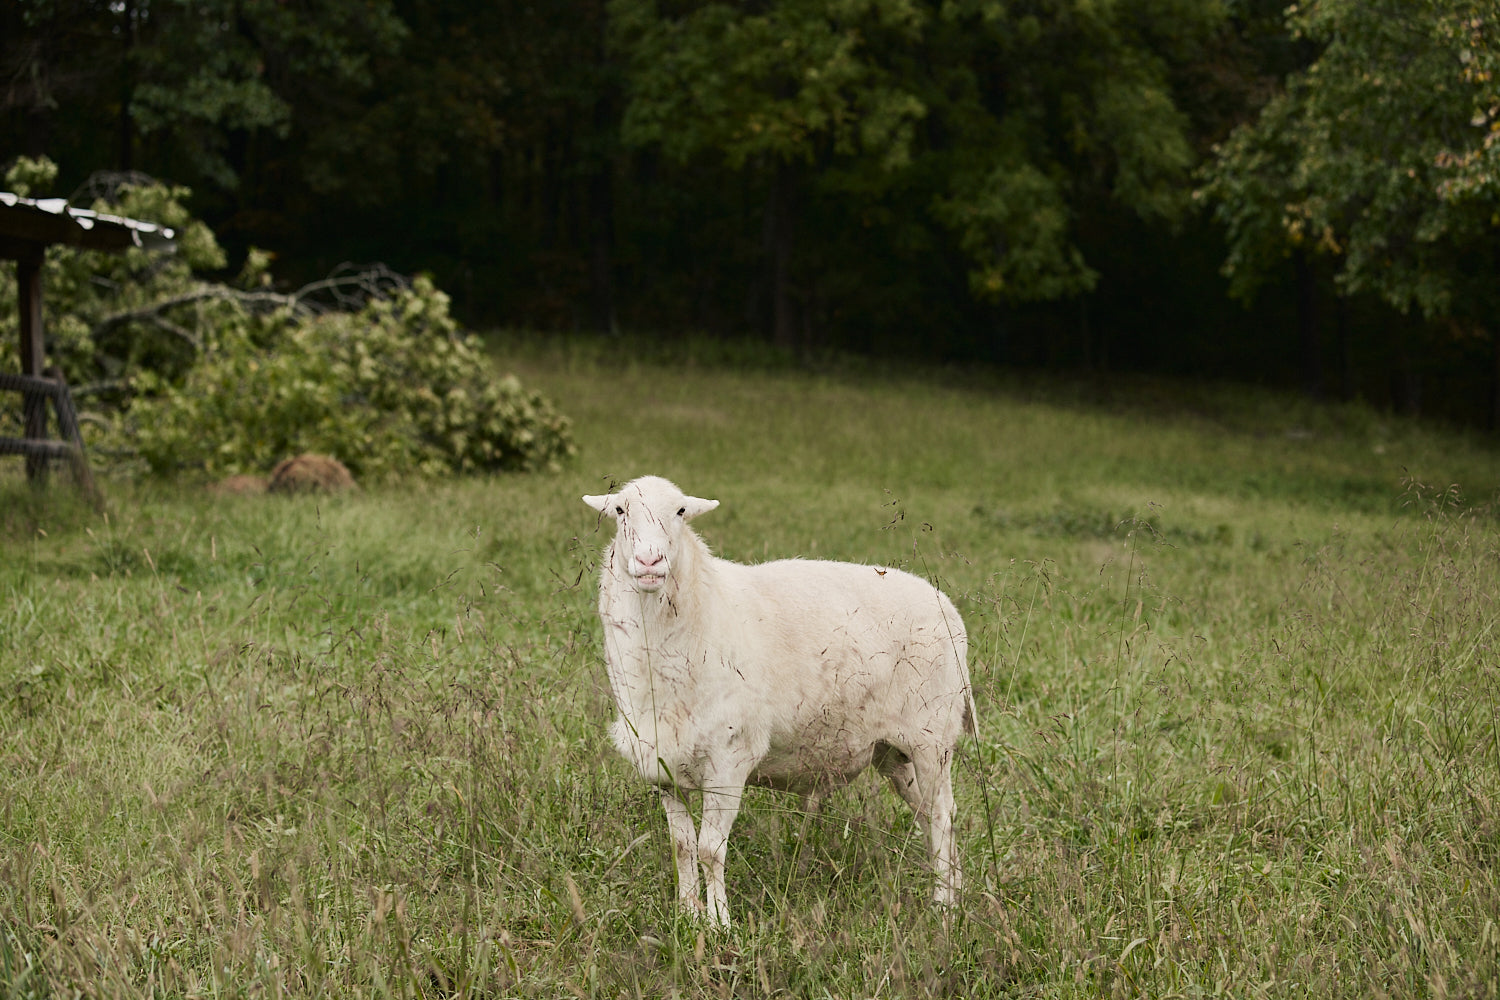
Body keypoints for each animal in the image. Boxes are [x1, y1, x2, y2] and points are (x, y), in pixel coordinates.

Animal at [583, 475, 976, 928]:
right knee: (931, 817)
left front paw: (719, 924)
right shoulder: (666, 766)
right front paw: (686, 915)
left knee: (943, 818)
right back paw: (953, 892)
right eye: (620, 511)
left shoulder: (729, 758)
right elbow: (682, 848)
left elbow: (709, 849)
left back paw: (944, 908)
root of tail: (947, 607)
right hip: (893, 752)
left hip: (932, 737)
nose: (650, 561)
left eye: (681, 511)